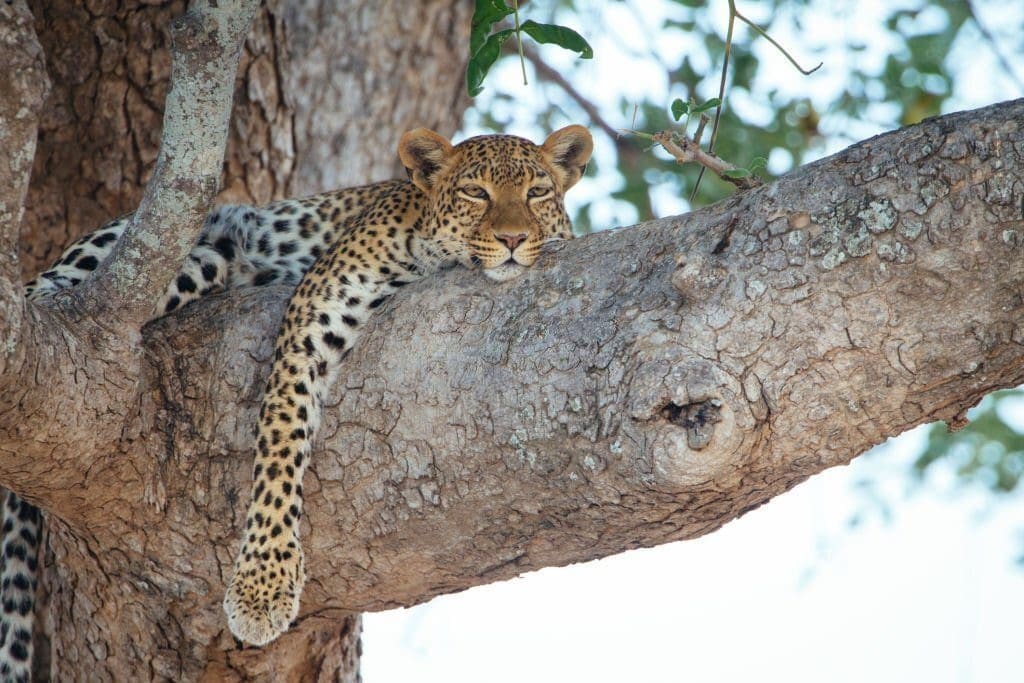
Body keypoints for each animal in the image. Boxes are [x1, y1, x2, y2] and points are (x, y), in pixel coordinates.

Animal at [2, 124, 593, 667]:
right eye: (475, 193)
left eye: (537, 192)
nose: (514, 239)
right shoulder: (312, 316)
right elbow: (282, 439)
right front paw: (261, 586)